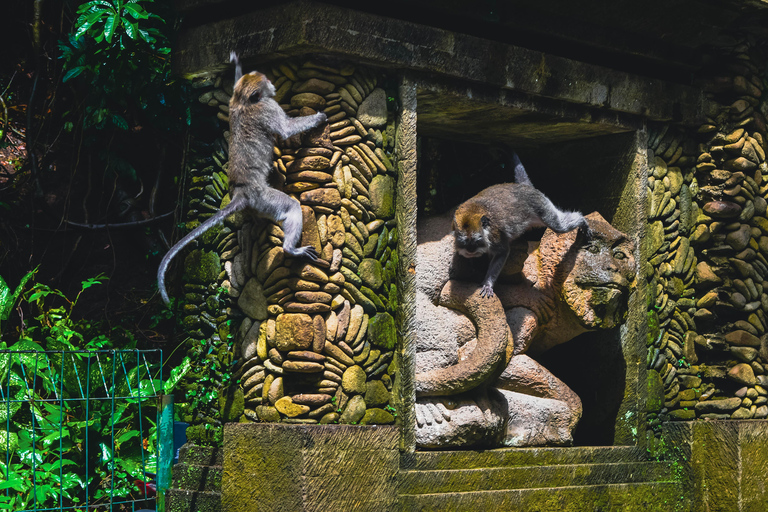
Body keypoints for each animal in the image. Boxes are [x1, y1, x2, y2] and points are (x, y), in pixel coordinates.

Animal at [157, 52, 327, 305]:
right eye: (266, 82)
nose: (272, 84)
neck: (245, 101)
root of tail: (241, 192)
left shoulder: (233, 100)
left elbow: (236, 81)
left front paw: (236, 64)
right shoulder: (269, 107)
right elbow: (286, 129)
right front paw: (318, 118)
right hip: (264, 199)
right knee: (291, 207)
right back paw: (290, 249)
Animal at [452, 152, 589, 298]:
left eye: (476, 240)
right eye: (465, 242)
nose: (470, 250)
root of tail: (524, 187)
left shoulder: (495, 237)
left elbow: (502, 252)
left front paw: (488, 283)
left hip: (540, 204)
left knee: (558, 225)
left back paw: (582, 221)